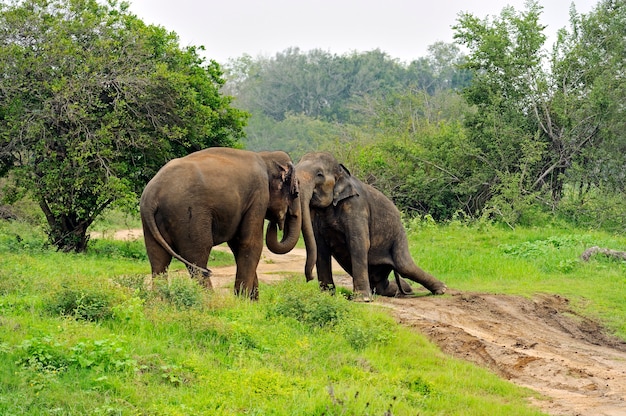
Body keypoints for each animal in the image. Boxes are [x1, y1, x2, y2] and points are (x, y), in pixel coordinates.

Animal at [140, 146, 300, 300]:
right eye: (296, 193)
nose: (275, 223)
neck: (265, 156)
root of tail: (151, 195)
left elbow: (237, 244)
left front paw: (251, 301)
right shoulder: (259, 195)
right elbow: (251, 243)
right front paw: (242, 301)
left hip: (151, 223)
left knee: (158, 260)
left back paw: (160, 301)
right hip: (188, 216)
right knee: (197, 259)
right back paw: (210, 300)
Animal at [294, 151, 446, 300]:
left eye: (319, 174)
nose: (309, 278)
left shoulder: (356, 206)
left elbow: (358, 243)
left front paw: (362, 299)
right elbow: (321, 248)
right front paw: (327, 296)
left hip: (399, 236)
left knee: (405, 266)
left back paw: (441, 289)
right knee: (384, 285)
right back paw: (405, 289)